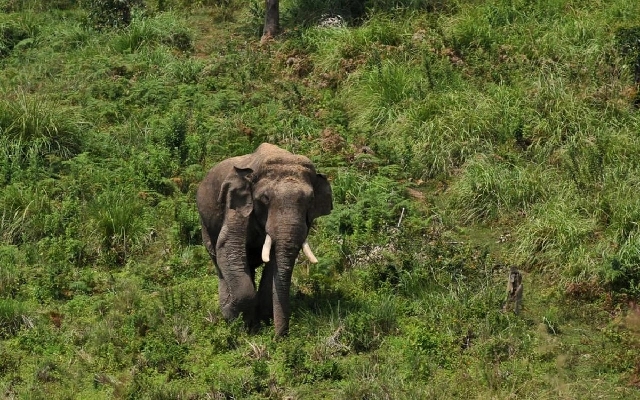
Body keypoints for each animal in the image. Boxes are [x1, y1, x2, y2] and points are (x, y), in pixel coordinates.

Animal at [196, 143, 332, 336]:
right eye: (265, 198)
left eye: (311, 200)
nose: (280, 337)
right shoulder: (236, 205)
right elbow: (228, 247)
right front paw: (235, 318)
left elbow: (275, 263)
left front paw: (261, 322)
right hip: (205, 225)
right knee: (219, 261)